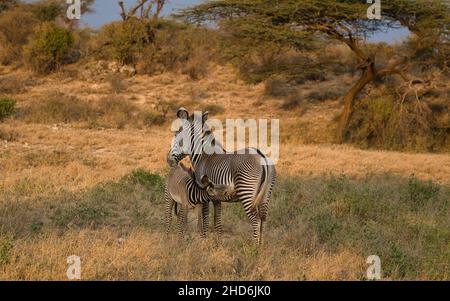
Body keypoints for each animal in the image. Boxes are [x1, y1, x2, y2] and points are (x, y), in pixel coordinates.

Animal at [167, 108, 276, 244]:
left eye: (176, 136)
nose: (168, 160)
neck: (204, 156)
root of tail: (261, 156)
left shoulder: (204, 192)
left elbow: (205, 218)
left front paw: (204, 240)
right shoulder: (216, 197)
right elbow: (217, 221)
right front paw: (218, 243)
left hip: (246, 190)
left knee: (255, 218)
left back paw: (255, 247)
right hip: (265, 195)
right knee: (263, 218)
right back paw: (261, 246)